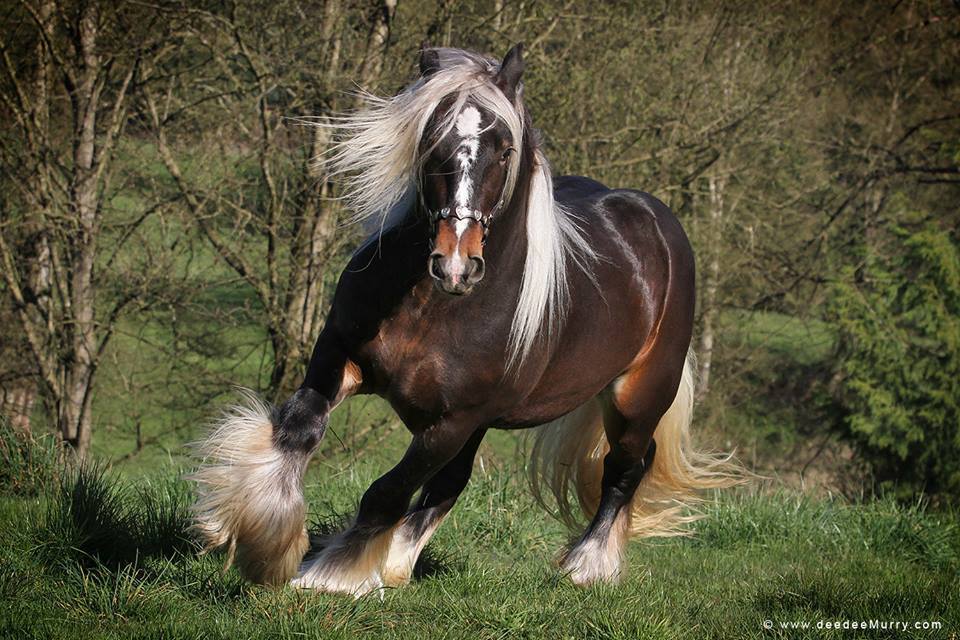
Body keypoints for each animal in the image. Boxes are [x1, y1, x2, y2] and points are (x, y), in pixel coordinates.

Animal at [191, 43, 740, 596]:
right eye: (432, 140)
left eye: (505, 151)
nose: (456, 265)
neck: (434, 309)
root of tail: (657, 222)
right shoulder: (340, 358)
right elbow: (298, 432)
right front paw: (265, 545)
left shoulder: (452, 423)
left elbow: (386, 492)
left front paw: (331, 578)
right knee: (454, 485)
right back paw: (399, 563)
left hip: (635, 398)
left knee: (624, 469)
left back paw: (588, 566)